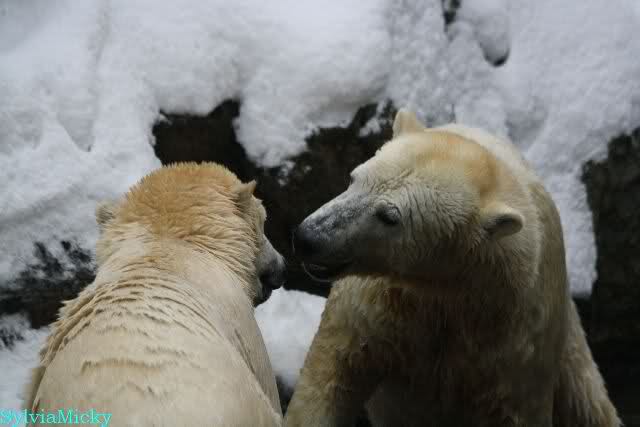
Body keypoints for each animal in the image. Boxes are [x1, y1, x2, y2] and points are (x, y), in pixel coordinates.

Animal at [284, 110, 619, 427]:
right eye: (354, 179)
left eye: (389, 216)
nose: (308, 237)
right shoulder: (375, 313)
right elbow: (331, 375)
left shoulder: (515, 348)